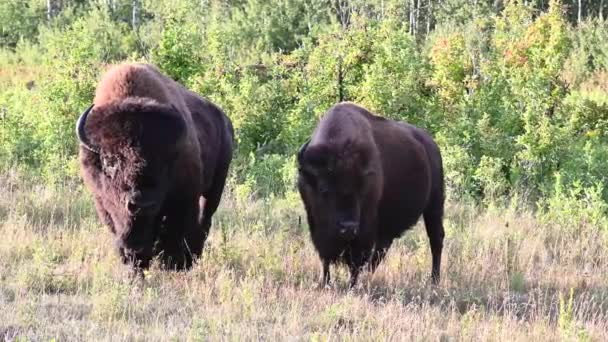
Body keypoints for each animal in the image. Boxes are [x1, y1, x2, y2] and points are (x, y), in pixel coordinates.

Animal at [77, 62, 234, 272]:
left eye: (163, 161)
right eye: (110, 161)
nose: (142, 203)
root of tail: (224, 121)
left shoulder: (182, 198)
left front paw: (173, 264)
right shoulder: (105, 205)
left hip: (214, 188)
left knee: (203, 222)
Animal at [296, 102, 444, 288]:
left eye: (361, 190)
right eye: (324, 190)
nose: (348, 227)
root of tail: (431, 145)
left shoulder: (364, 225)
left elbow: (356, 258)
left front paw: (351, 286)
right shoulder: (316, 221)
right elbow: (325, 255)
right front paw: (325, 282)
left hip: (435, 204)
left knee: (436, 239)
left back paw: (434, 280)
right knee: (382, 248)